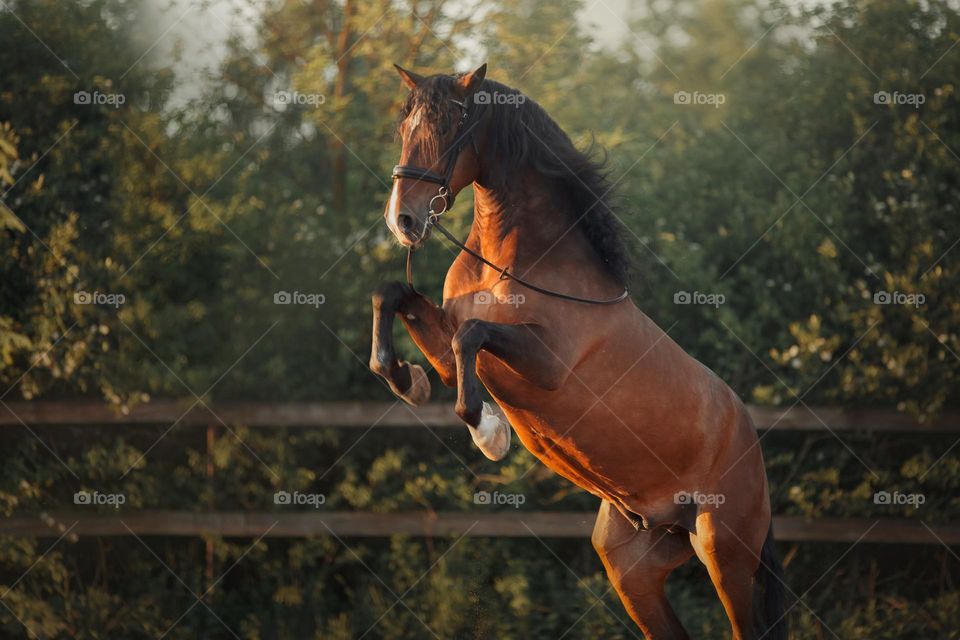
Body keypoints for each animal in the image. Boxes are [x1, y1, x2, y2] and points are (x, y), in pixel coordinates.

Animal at [369, 62, 787, 640]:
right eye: (405, 128)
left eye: (450, 128)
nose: (402, 221)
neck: (517, 262)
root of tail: (751, 444)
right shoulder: (453, 353)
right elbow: (393, 296)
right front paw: (404, 378)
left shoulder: (546, 364)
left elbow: (470, 335)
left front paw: (489, 433)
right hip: (634, 566)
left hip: (725, 554)